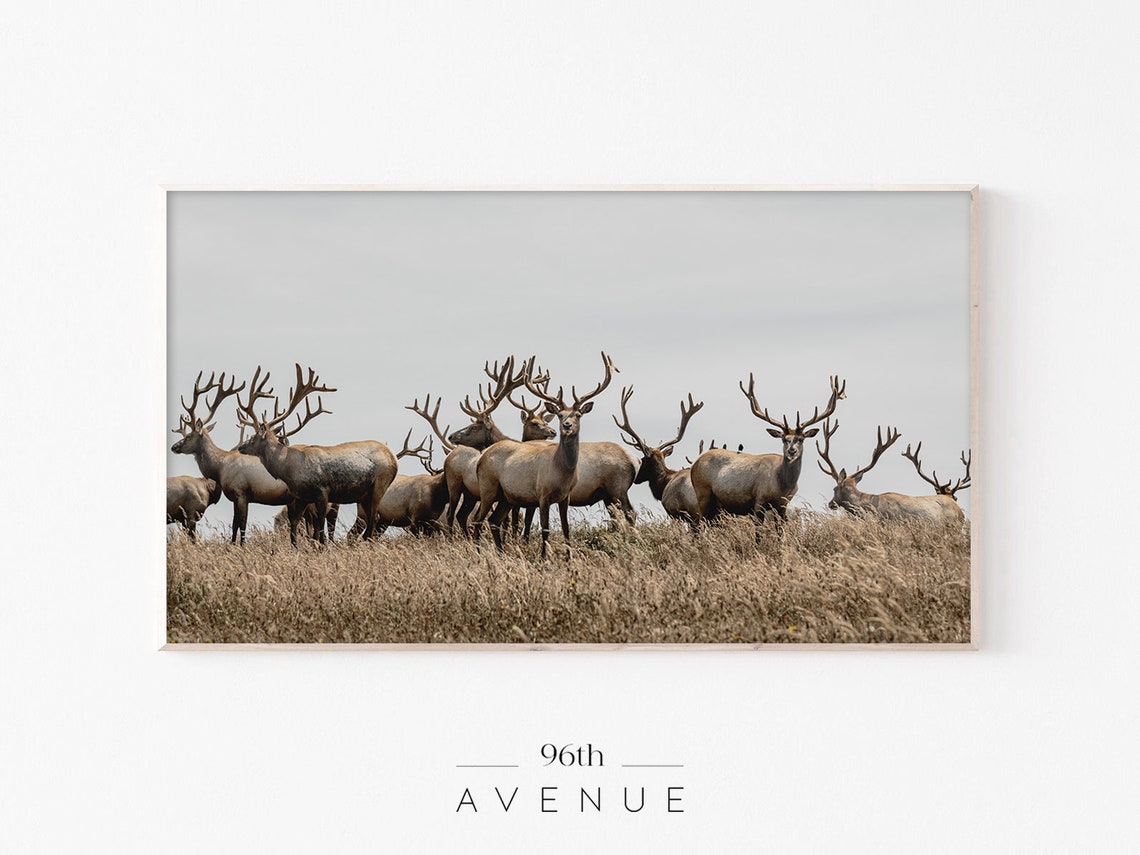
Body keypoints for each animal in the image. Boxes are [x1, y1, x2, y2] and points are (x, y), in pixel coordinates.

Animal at [170, 370, 333, 545]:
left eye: (188, 436)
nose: (173, 447)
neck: (220, 468)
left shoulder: (241, 492)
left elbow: (241, 523)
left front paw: (240, 546)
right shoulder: (236, 497)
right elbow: (235, 524)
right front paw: (232, 545)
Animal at [235, 364, 398, 546]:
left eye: (253, 437)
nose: (241, 447)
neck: (289, 469)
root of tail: (393, 458)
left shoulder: (322, 490)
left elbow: (319, 525)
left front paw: (321, 546)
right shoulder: (301, 497)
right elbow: (295, 524)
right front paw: (296, 547)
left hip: (380, 483)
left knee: (374, 518)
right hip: (364, 494)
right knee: (371, 519)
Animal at [471, 351, 617, 558]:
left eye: (578, 415)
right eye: (560, 415)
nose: (566, 426)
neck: (562, 473)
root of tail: (481, 457)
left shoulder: (565, 496)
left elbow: (566, 528)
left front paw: (569, 559)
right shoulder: (542, 494)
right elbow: (545, 528)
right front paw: (543, 558)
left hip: (506, 496)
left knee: (493, 520)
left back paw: (501, 553)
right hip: (488, 486)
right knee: (478, 519)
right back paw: (478, 554)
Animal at [690, 372, 846, 535]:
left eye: (801, 439)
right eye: (784, 439)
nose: (792, 451)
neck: (782, 486)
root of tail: (695, 463)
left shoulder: (782, 506)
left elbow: (780, 532)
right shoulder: (759, 500)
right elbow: (759, 532)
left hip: (718, 505)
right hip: (703, 493)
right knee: (699, 525)